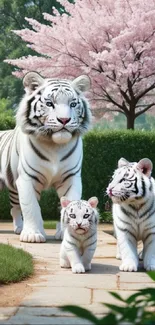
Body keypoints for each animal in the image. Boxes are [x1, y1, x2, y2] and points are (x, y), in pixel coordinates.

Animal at [0, 71, 91, 243]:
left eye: (73, 104)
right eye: (49, 103)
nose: (64, 120)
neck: (55, 146)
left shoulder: (71, 178)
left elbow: (70, 204)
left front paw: (67, 233)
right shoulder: (27, 178)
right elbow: (31, 207)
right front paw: (32, 234)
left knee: (14, 208)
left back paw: (19, 229)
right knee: (16, 208)